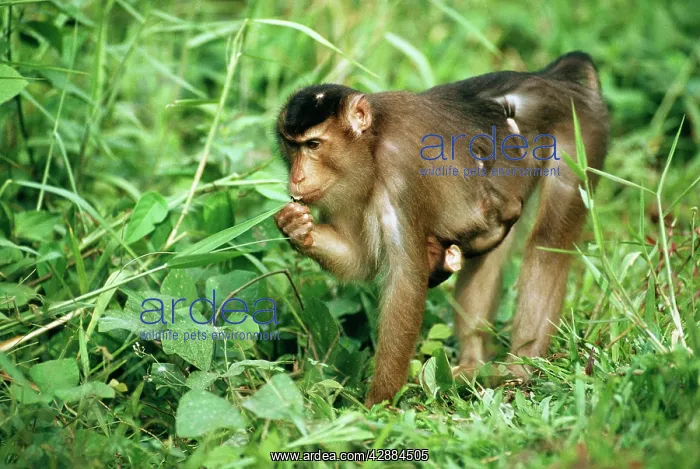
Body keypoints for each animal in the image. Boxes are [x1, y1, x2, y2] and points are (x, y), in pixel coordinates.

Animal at [274, 51, 609, 407]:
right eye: (291, 146)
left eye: (313, 144)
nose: (296, 177)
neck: (372, 144)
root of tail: (553, 78)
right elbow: (360, 259)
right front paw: (296, 227)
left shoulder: (400, 171)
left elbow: (405, 282)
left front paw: (377, 406)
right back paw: (474, 364)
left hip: (580, 129)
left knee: (547, 246)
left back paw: (521, 368)